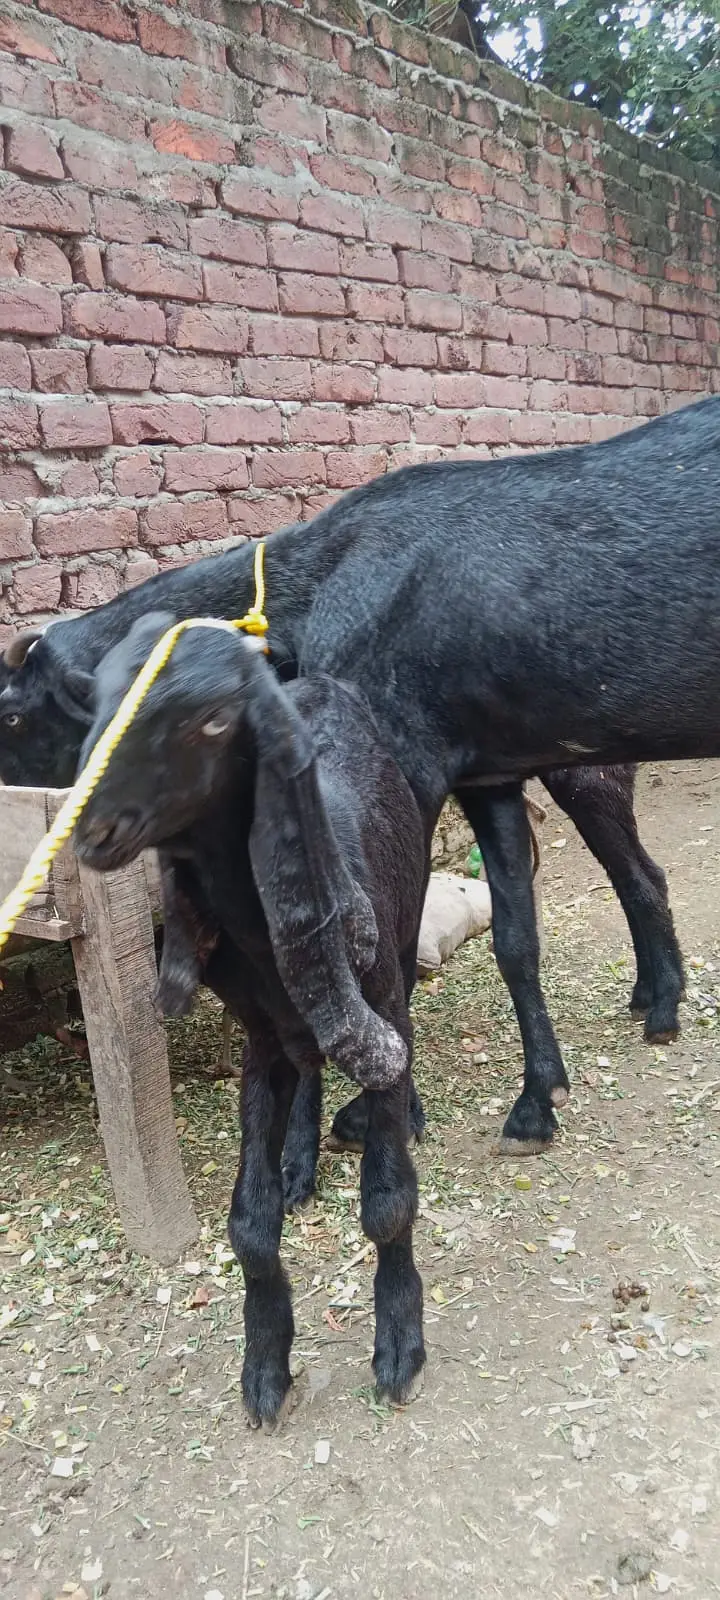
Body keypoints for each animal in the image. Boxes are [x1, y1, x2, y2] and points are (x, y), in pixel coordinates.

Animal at [1, 396, 700, 1164]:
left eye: (12, 715)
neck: (314, 587)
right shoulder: (488, 778)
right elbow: (516, 938)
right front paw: (537, 1100)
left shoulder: (403, 767)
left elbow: (395, 933)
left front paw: (380, 1114)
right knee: (640, 873)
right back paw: (656, 996)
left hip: (588, 769)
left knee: (638, 871)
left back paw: (662, 1000)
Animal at [73, 614, 428, 1424]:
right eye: (97, 699)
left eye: (212, 720)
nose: (88, 830)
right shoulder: (258, 1037)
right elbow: (250, 1225)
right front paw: (265, 1363)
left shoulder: (379, 998)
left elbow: (388, 1201)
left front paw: (399, 1344)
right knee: (310, 1064)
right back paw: (299, 1161)